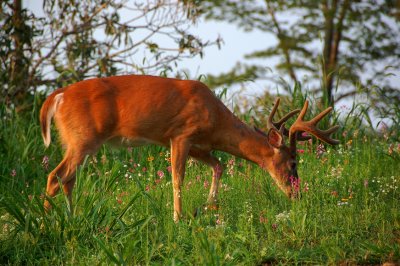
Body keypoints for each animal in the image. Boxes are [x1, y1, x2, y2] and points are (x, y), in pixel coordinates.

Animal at [40, 74, 340, 221]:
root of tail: (56, 97)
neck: (216, 118)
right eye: (293, 163)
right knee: (55, 176)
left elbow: (219, 165)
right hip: (83, 138)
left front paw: (208, 206)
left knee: (67, 179)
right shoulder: (181, 134)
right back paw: (45, 224)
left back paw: (70, 218)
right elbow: (177, 178)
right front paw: (177, 218)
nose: (296, 194)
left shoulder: (197, 143)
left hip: (77, 142)